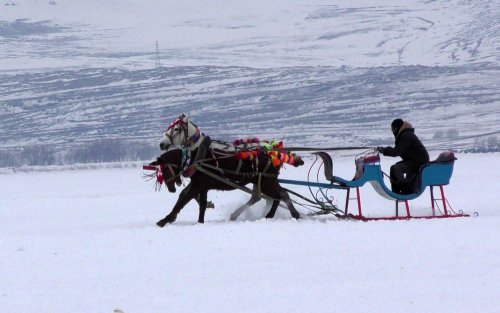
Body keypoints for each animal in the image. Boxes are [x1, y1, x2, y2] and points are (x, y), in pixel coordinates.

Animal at [150, 147, 302, 225]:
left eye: (164, 169)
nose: (171, 188)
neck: (195, 161)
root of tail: (275, 156)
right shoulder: (202, 186)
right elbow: (201, 204)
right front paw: (200, 221)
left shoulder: (199, 185)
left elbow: (183, 200)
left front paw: (165, 220)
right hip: (263, 182)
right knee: (269, 196)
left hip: (267, 182)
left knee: (280, 195)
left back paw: (285, 214)